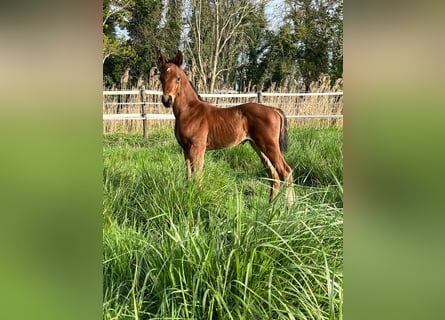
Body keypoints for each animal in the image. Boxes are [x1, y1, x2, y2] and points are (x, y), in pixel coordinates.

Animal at [156, 48, 294, 206]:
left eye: (178, 78)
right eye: (160, 78)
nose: (167, 100)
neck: (190, 111)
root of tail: (274, 110)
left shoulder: (198, 148)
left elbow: (198, 177)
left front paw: (198, 200)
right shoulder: (185, 149)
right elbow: (189, 177)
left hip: (270, 146)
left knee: (286, 172)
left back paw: (289, 209)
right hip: (259, 147)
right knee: (274, 176)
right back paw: (269, 208)